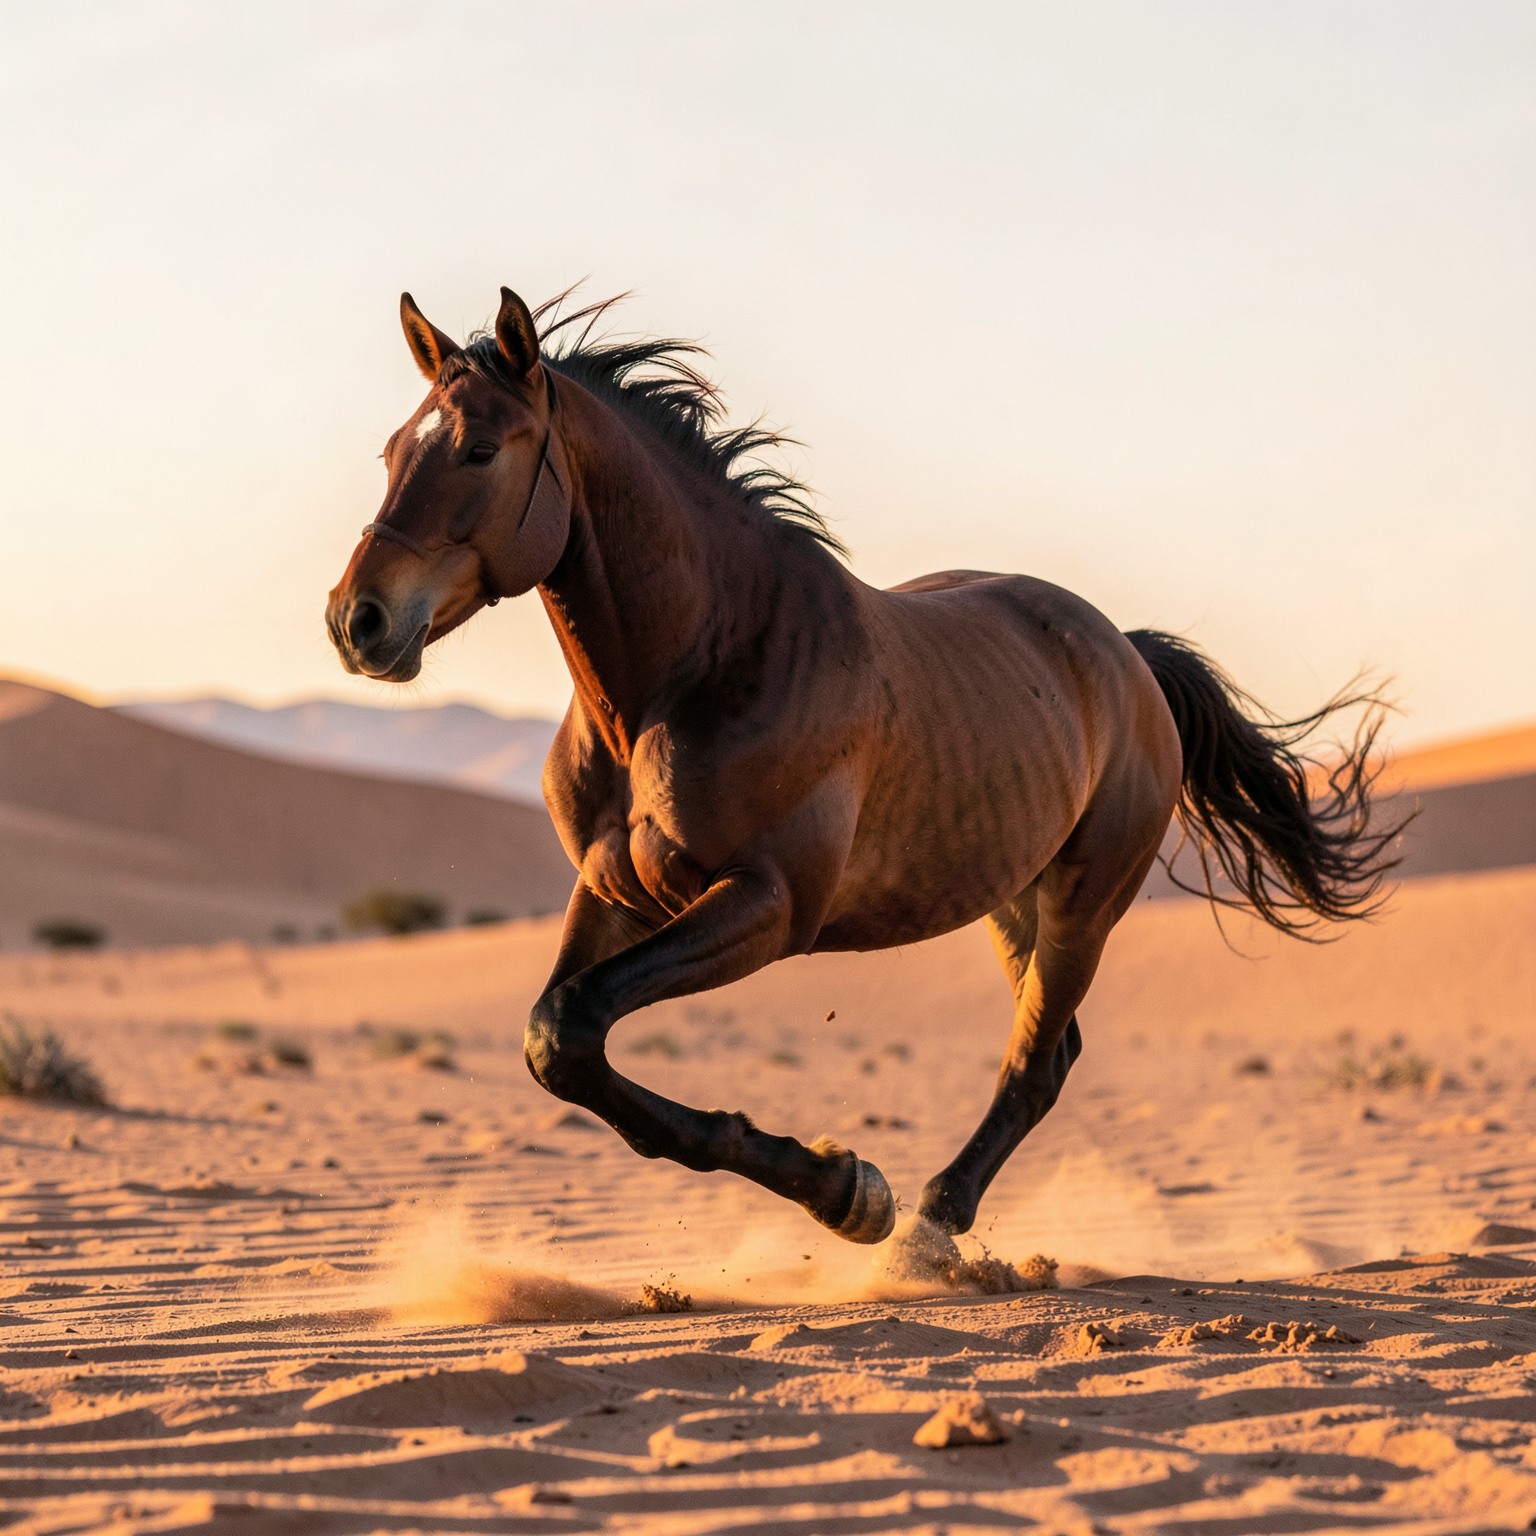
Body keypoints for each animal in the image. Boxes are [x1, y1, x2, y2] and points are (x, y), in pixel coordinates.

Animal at [326, 286, 1397, 1253]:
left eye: (479, 449)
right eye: (391, 452)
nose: (356, 620)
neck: (702, 664)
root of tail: (1125, 655)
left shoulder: (769, 906)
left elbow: (573, 1025)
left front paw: (850, 1191)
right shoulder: (611, 894)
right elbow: (559, 1043)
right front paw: (838, 1182)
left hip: (1084, 901)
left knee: (1035, 1061)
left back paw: (926, 1227)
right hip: (1012, 900)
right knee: (1051, 1049)